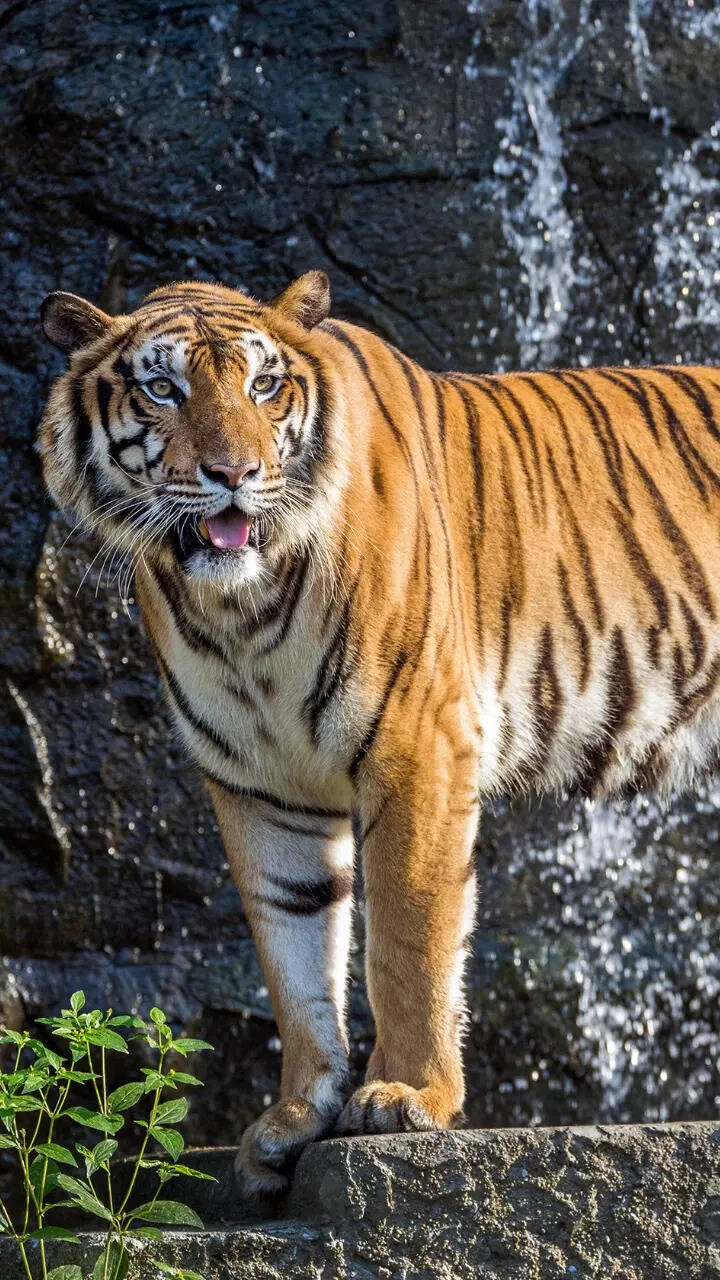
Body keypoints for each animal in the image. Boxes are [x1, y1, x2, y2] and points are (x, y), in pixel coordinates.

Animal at [38, 269, 720, 1192]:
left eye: (264, 385)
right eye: (163, 389)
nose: (235, 473)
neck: (238, 613)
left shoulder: (417, 743)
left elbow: (407, 937)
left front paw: (407, 1097)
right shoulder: (258, 786)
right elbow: (292, 955)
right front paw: (296, 1117)